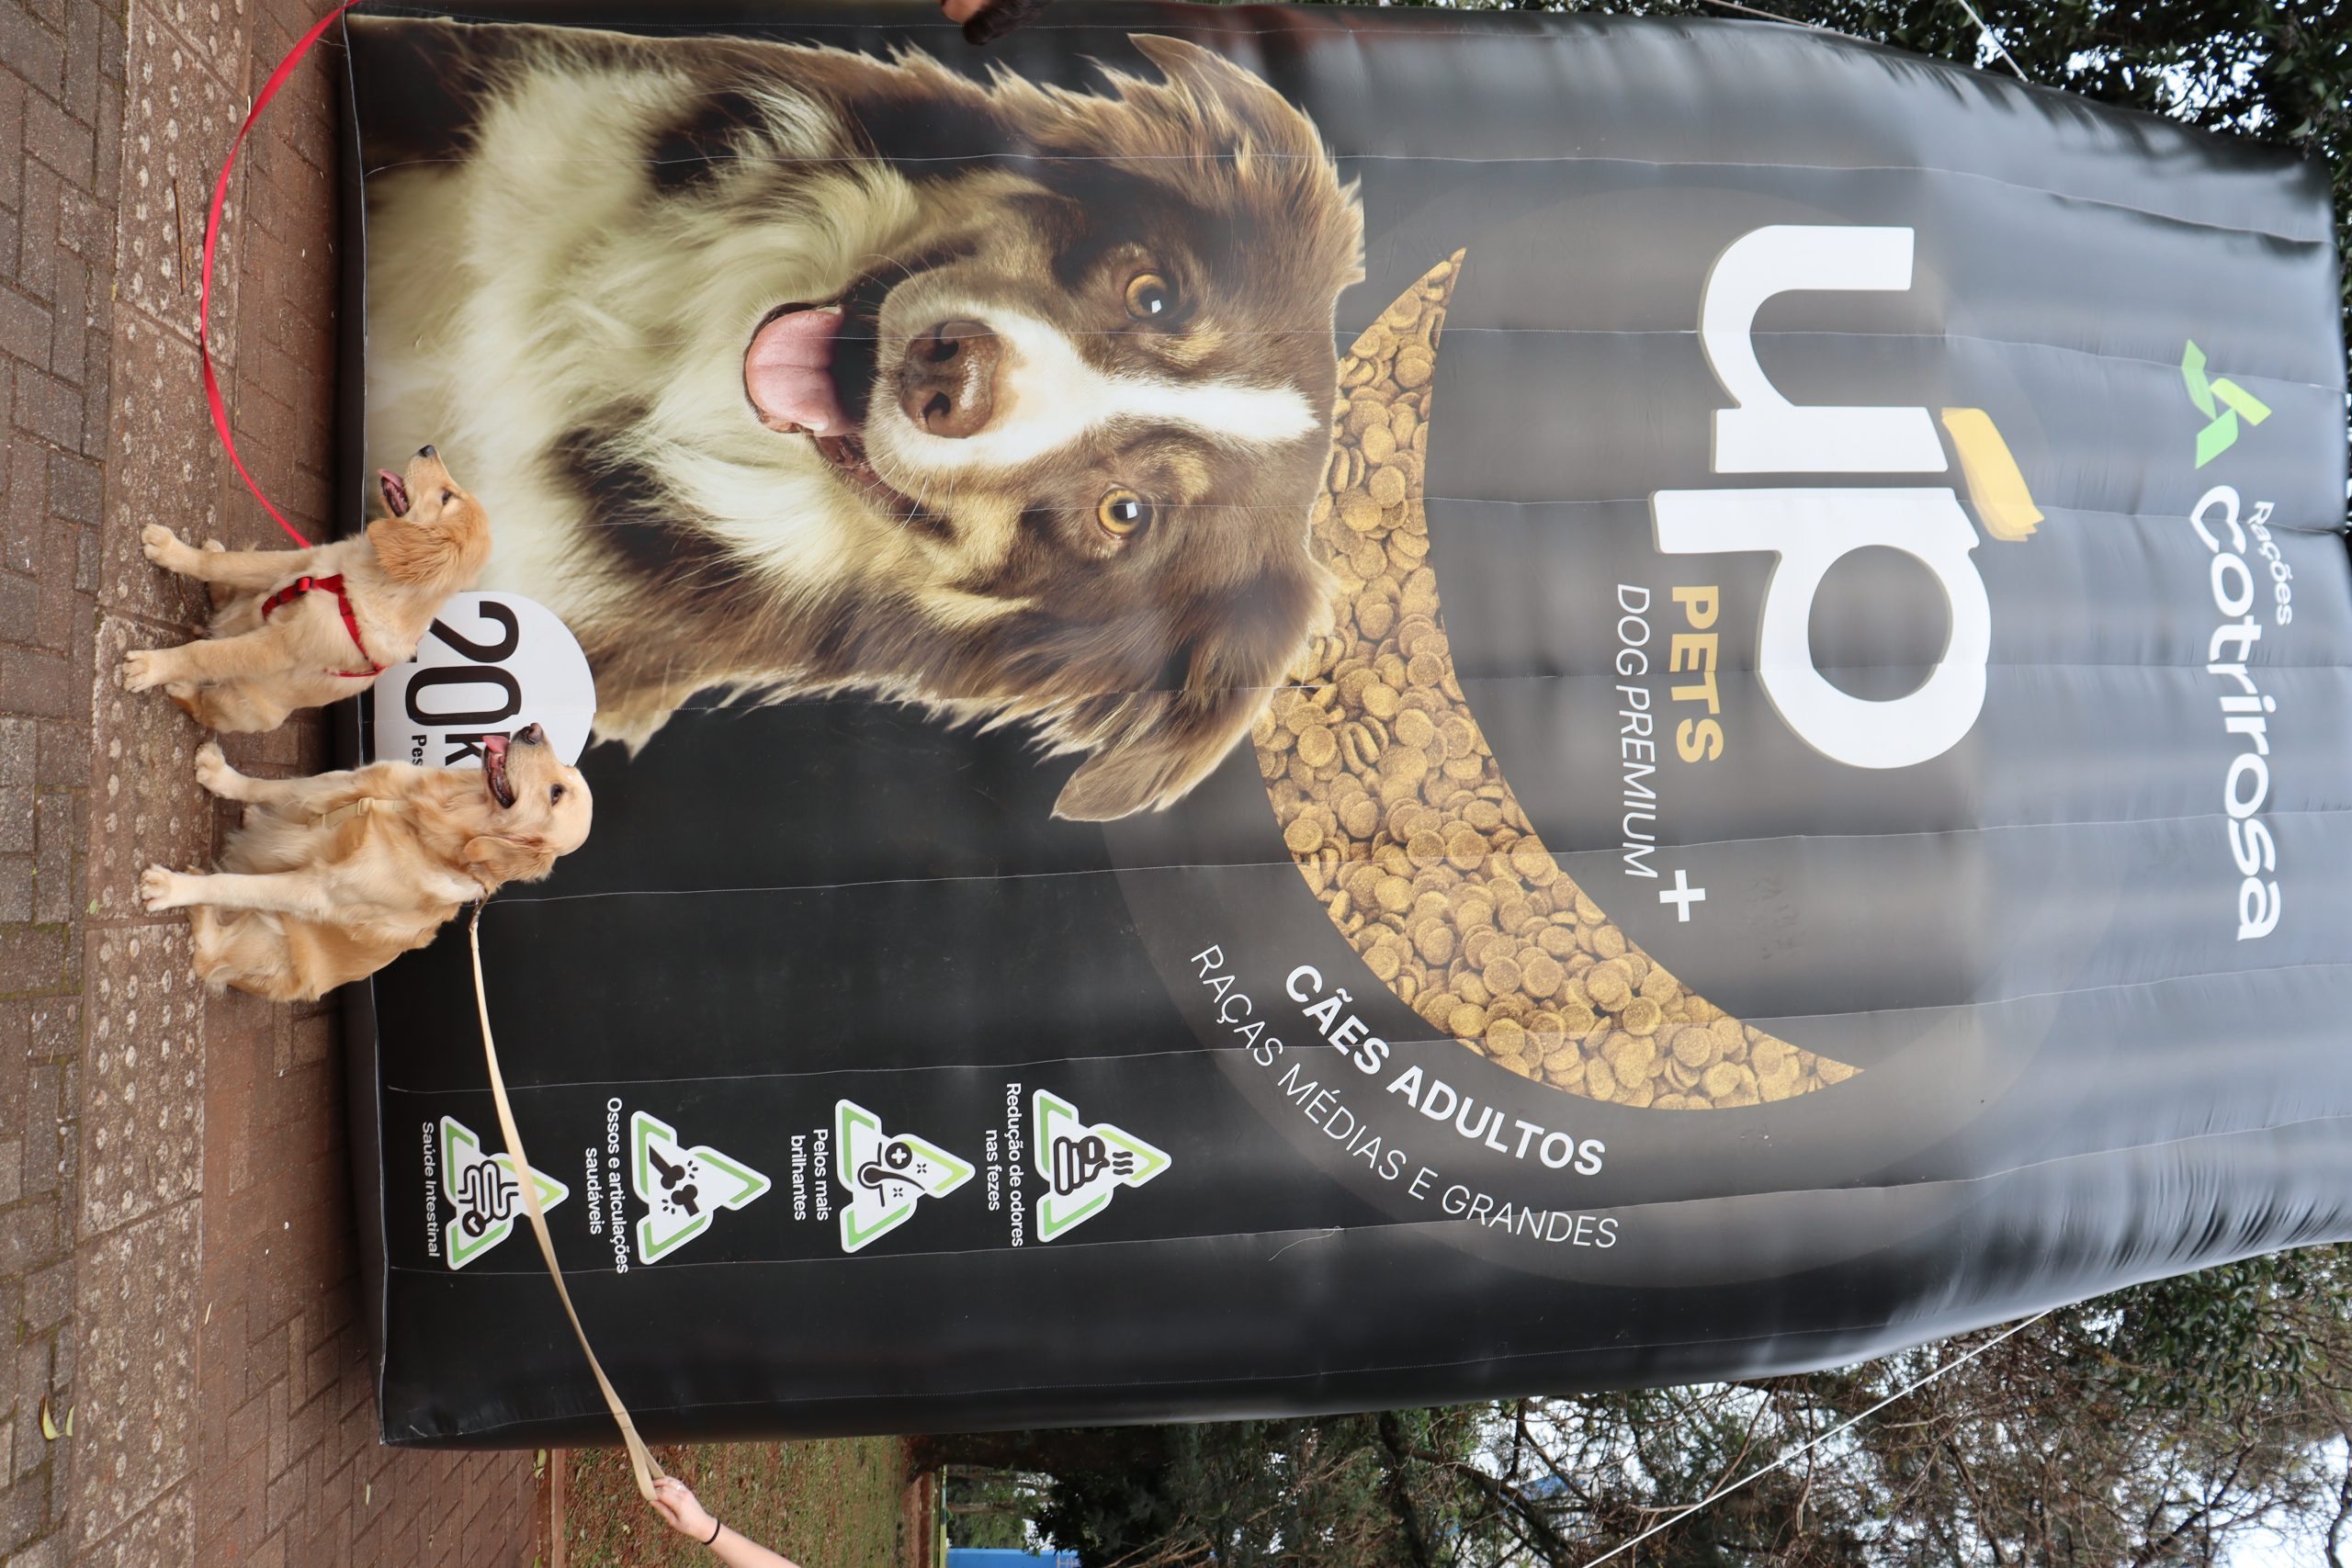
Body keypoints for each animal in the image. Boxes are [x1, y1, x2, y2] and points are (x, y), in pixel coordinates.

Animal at [120, 448, 490, 733]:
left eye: (446, 497)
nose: (428, 447)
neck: (368, 578)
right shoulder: (300, 561)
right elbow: (229, 564)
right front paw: (172, 551)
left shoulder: (283, 644)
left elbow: (205, 655)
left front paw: (151, 667)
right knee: (229, 588)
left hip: (242, 704)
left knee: (205, 707)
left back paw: (182, 687)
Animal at [140, 725, 592, 1002]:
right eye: (564, 772)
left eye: (556, 793)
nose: (532, 728)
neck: (420, 821)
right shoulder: (343, 782)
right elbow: (273, 786)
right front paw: (220, 775)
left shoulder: (317, 889)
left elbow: (234, 885)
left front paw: (172, 888)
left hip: (276, 939)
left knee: (210, 955)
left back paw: (198, 903)